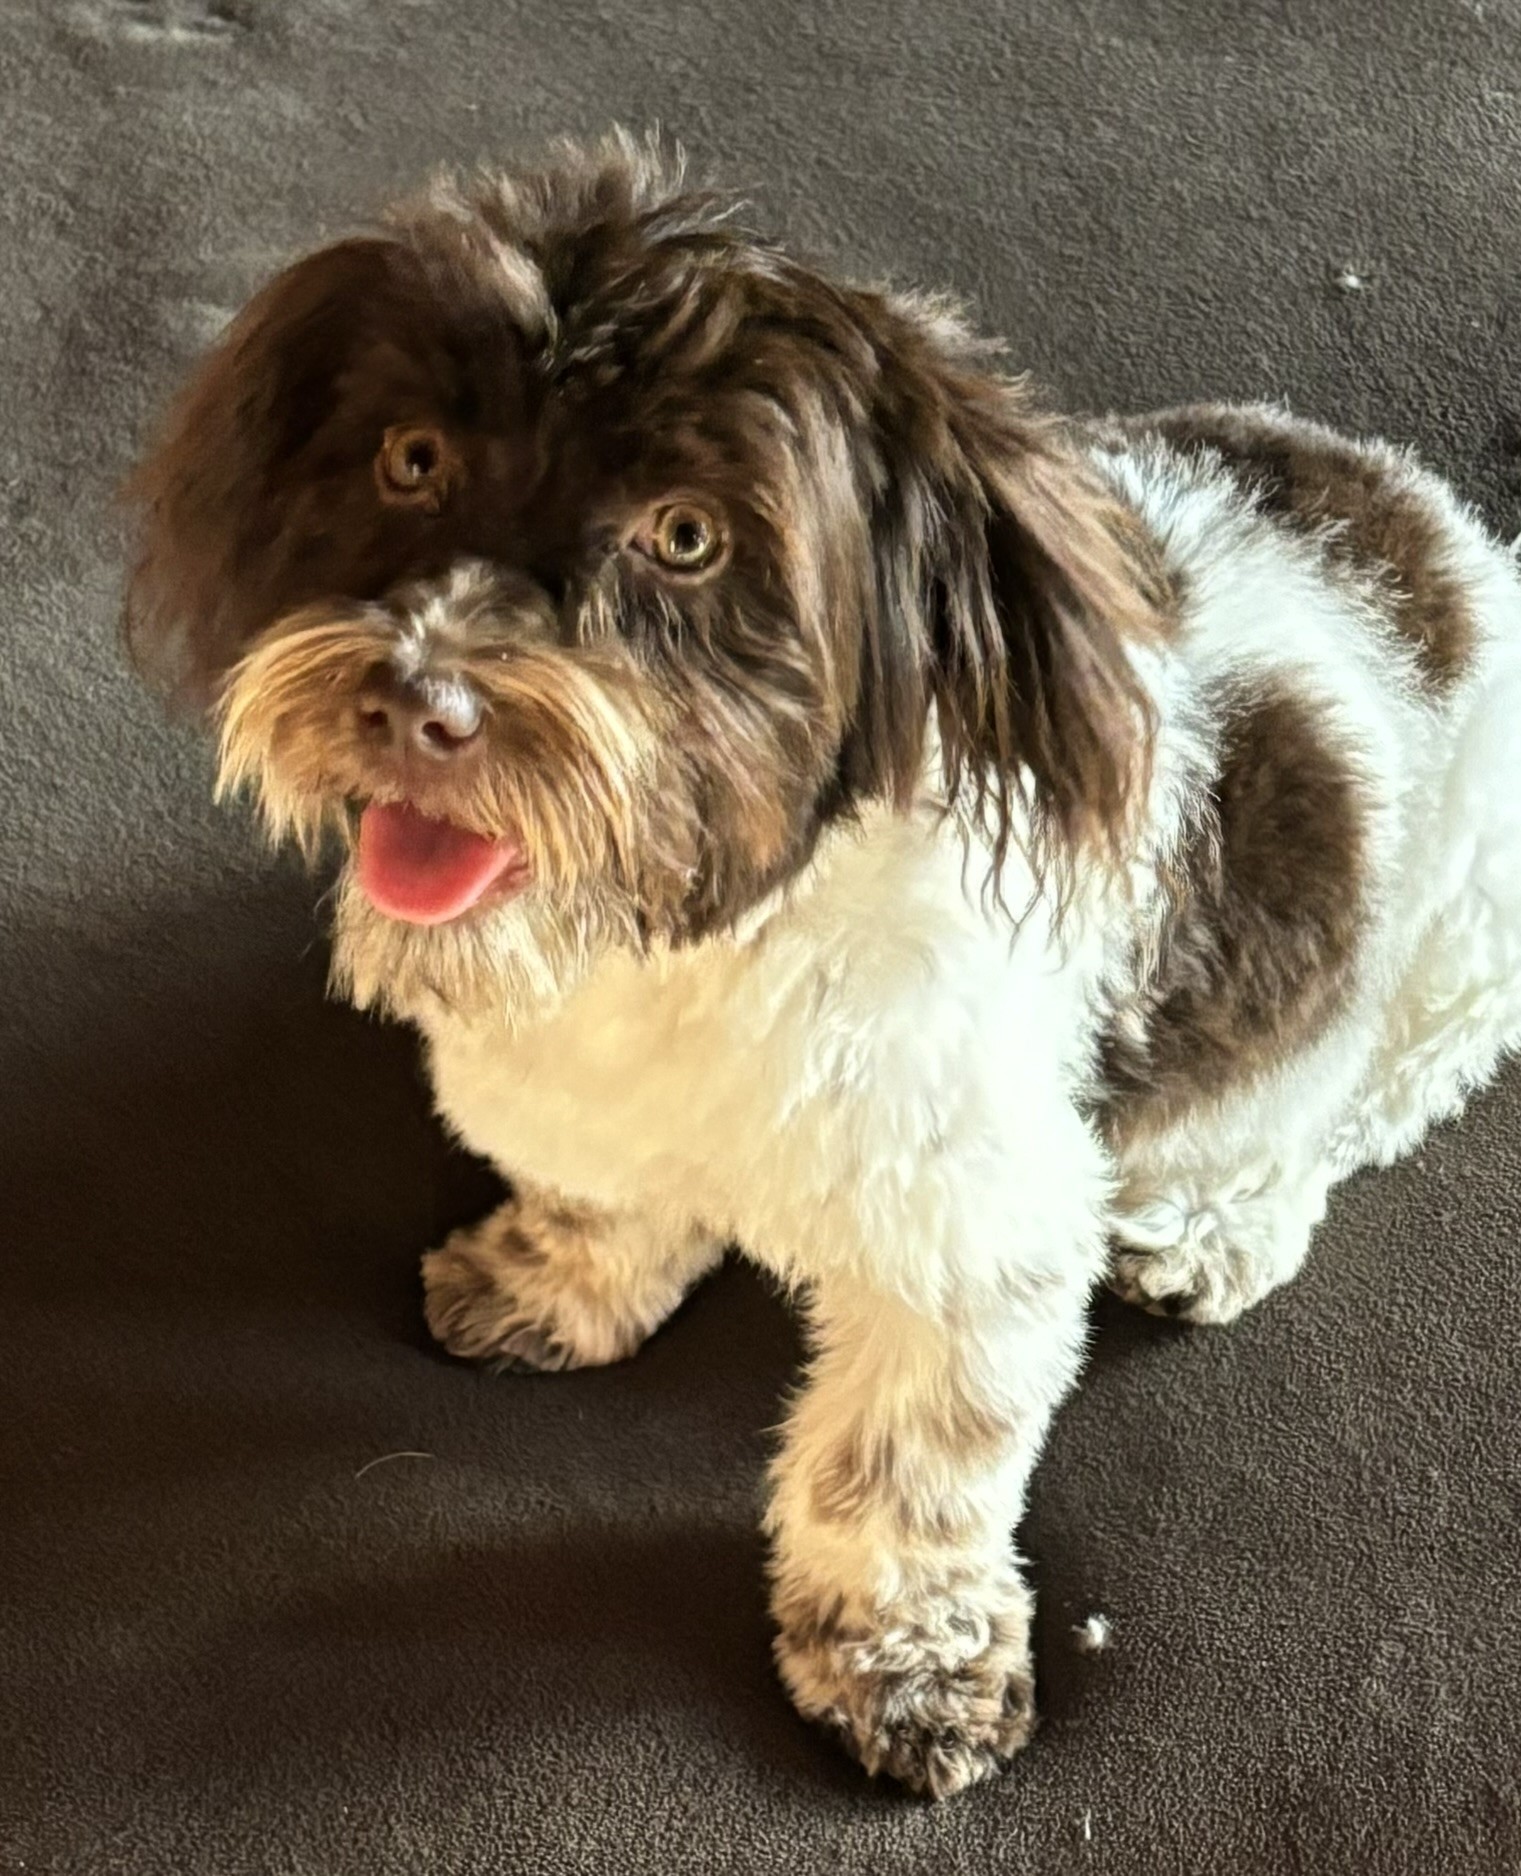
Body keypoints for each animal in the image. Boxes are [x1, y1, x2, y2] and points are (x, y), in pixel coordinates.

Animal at [124, 132, 1521, 1800]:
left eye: (687, 536)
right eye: (409, 459)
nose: (418, 697)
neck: (699, 931)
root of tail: (1435, 530)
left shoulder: (971, 1241)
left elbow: (903, 1469)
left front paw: (904, 1661)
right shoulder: (580, 1102)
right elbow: (599, 1200)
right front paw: (550, 1281)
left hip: (1449, 934)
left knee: (1357, 1087)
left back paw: (1215, 1219)